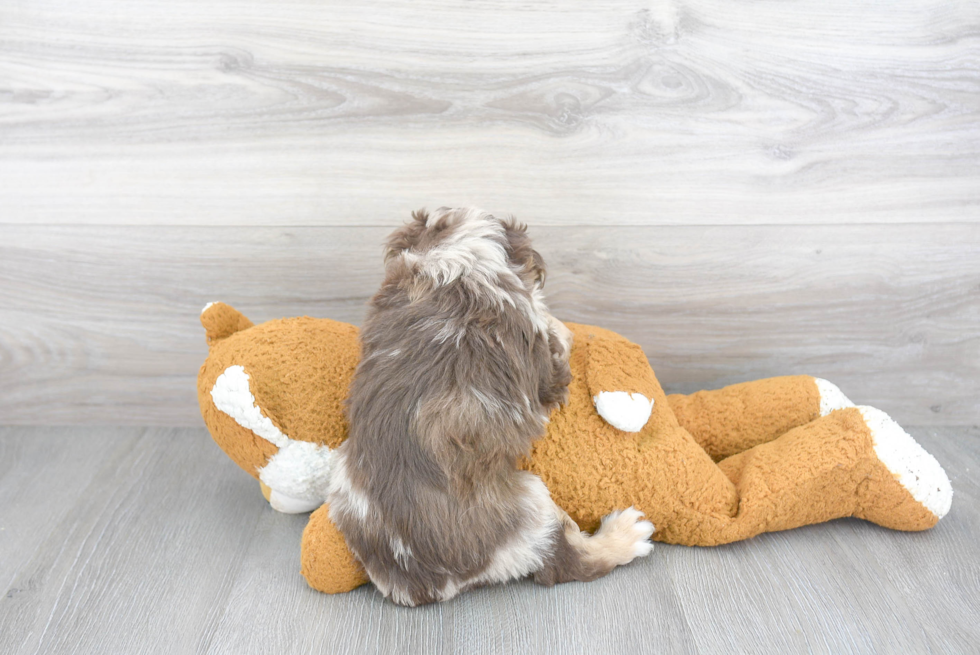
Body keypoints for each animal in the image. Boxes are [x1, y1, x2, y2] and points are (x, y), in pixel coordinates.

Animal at [326, 208, 656, 608]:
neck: (456, 256)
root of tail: (420, 584)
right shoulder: (545, 361)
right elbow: (558, 333)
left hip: (342, 486)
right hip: (532, 507)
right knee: (568, 561)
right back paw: (627, 534)